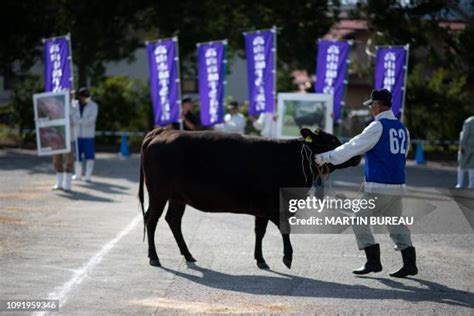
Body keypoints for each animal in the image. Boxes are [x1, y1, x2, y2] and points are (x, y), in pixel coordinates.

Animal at [138, 126, 360, 270]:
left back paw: (188, 254)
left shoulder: (262, 208)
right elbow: (284, 229)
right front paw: (287, 258)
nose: (358, 156)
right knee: (151, 219)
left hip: (177, 197)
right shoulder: (276, 206)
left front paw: (261, 260)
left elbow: (259, 232)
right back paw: (154, 257)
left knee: (173, 220)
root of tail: (163, 131)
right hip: (158, 193)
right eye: (332, 141)